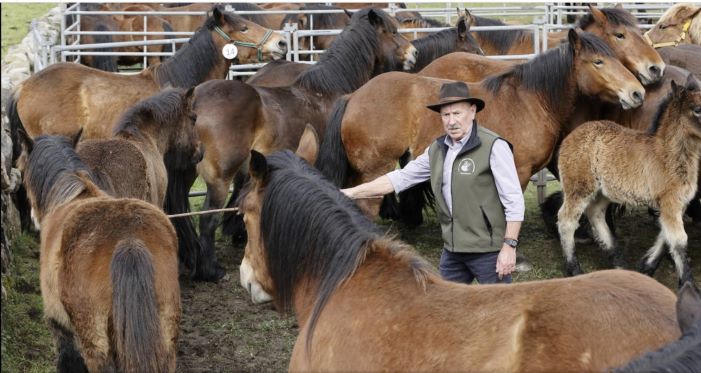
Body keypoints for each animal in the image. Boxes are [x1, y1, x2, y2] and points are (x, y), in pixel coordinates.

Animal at [185, 6, 416, 282]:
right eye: (393, 31)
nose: (413, 53)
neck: (330, 91)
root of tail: (196, 100)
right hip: (220, 178)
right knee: (207, 220)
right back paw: (211, 270)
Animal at [314, 29, 644, 221]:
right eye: (598, 62)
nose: (637, 92)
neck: (528, 100)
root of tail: (354, 96)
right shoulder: (518, 172)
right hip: (375, 171)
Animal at [556, 75, 700, 284]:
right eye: (697, 110)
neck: (666, 155)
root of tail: (570, 137)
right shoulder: (670, 201)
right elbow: (679, 240)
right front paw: (688, 285)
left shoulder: (677, 204)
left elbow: (665, 237)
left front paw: (646, 267)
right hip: (579, 186)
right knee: (566, 221)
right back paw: (574, 269)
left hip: (604, 192)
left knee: (595, 213)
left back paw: (619, 263)